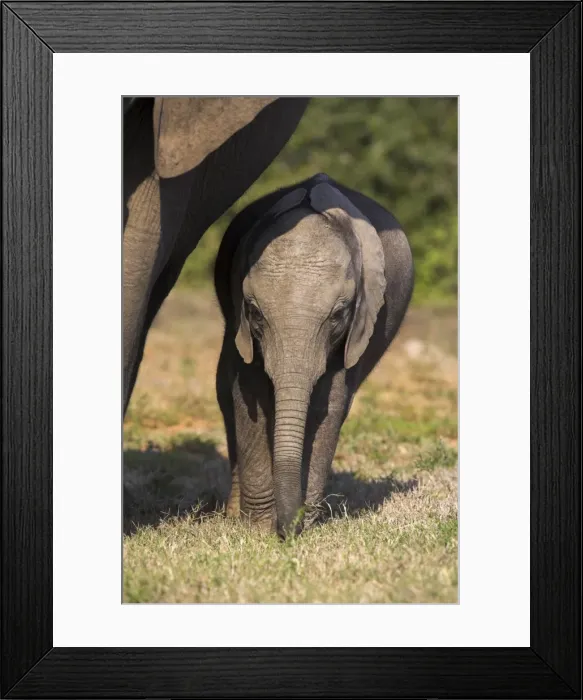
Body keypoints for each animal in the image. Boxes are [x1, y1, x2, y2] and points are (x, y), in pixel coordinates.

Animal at [214, 173, 414, 538]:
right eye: (254, 312)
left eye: (338, 314)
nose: (287, 531)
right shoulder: (240, 317)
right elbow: (248, 392)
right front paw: (259, 529)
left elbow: (328, 402)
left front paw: (303, 523)